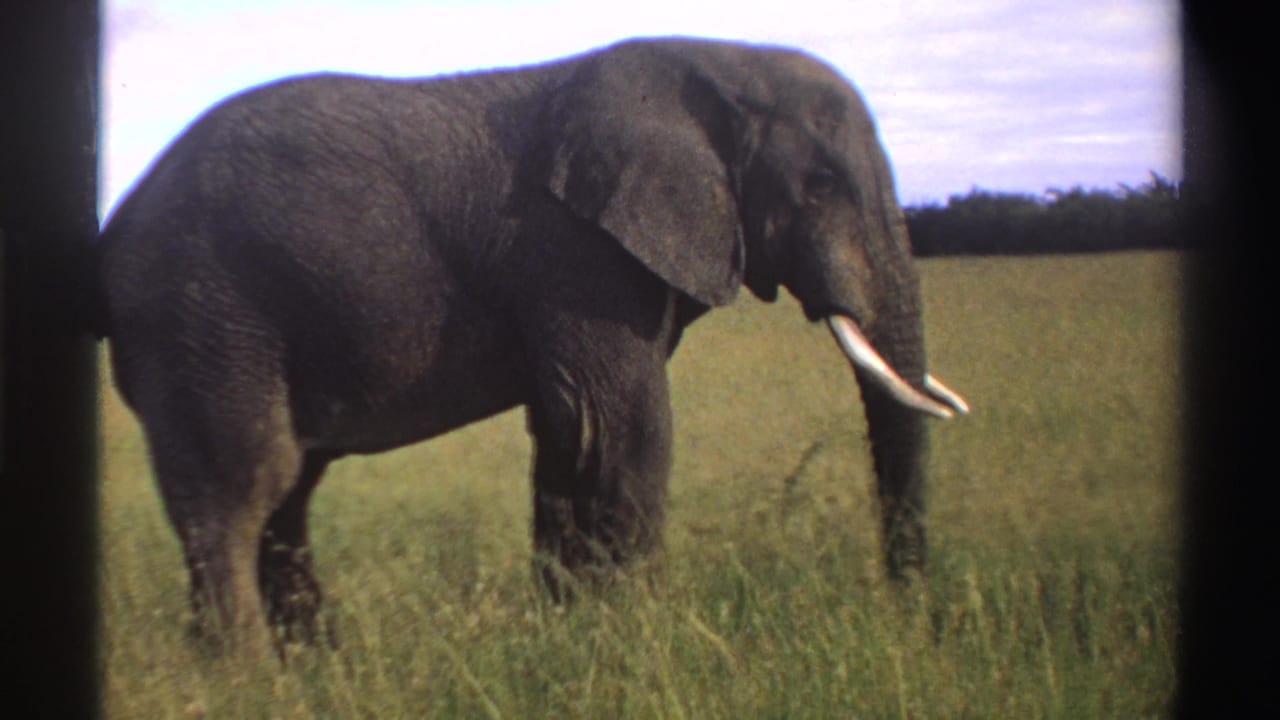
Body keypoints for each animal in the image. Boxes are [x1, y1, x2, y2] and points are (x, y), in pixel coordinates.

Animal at [94, 37, 967, 656]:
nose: (909, 623)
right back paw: (248, 678)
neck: (717, 59)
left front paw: (571, 636)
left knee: (287, 496)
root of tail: (112, 230)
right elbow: (620, 430)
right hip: (202, 312)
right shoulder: (577, 253)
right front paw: (642, 644)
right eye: (820, 185)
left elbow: (568, 434)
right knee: (243, 484)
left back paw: (316, 666)